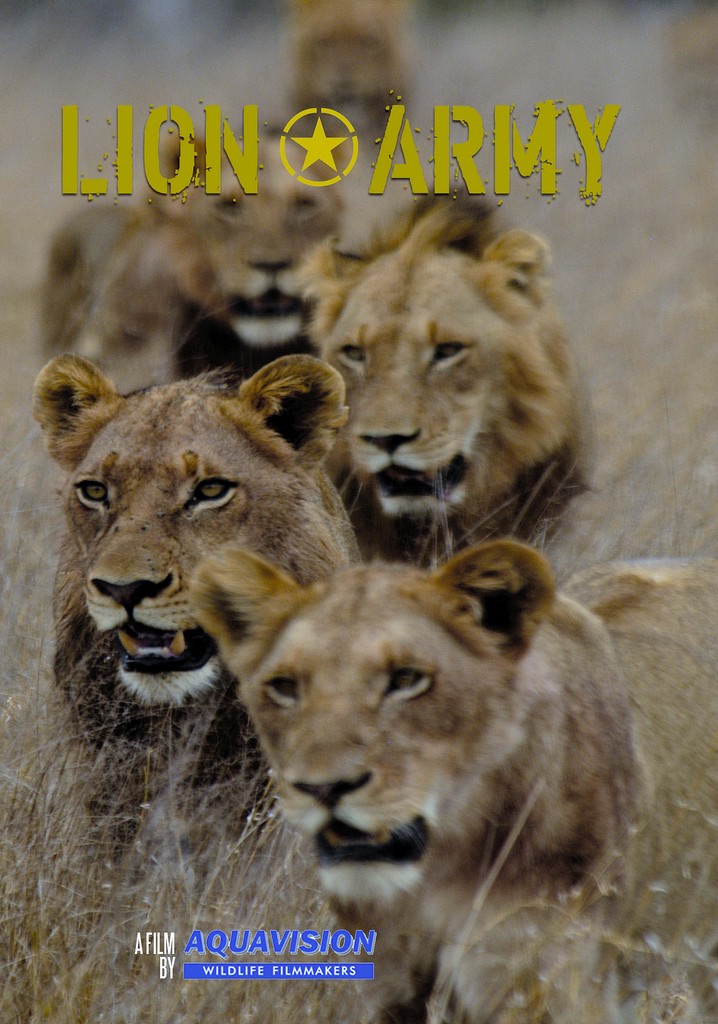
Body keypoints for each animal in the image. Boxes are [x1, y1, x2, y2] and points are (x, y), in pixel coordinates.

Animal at [191, 540, 718, 1022]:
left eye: (407, 679)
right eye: (284, 687)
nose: (323, 789)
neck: (439, 872)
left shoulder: (541, 983)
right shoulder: (386, 983)